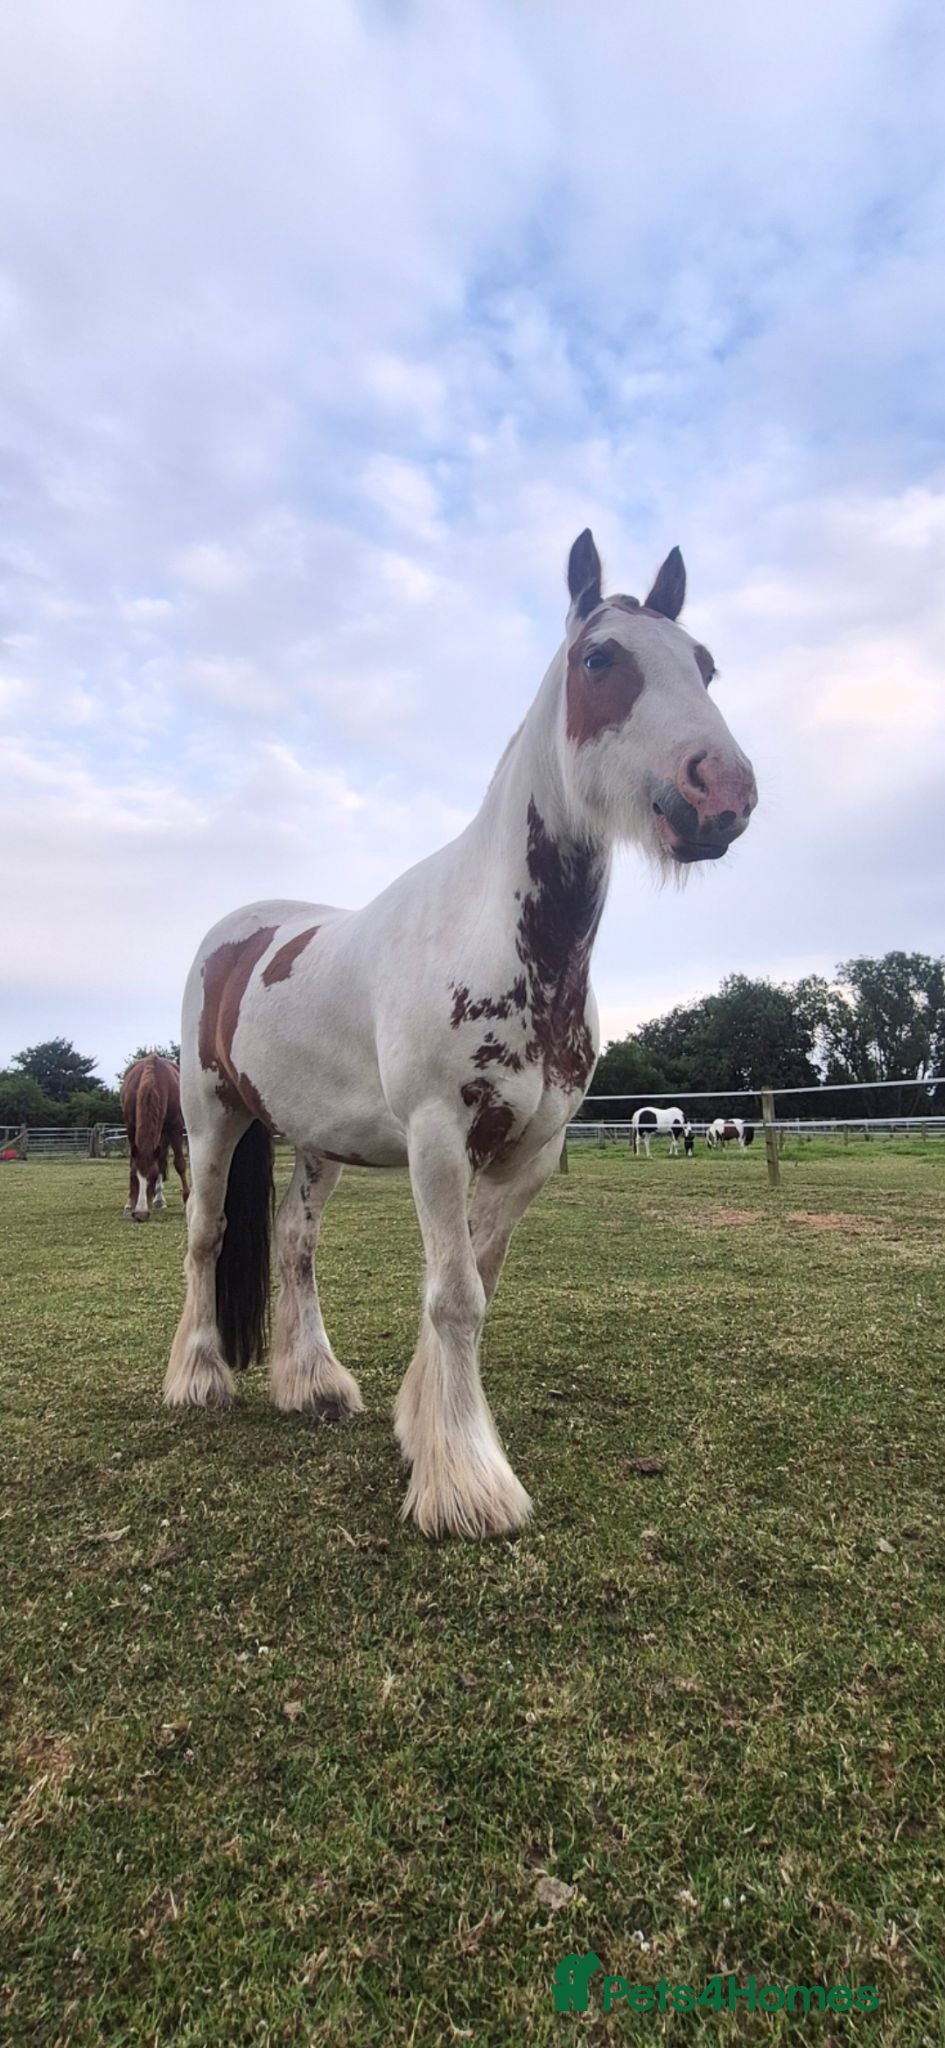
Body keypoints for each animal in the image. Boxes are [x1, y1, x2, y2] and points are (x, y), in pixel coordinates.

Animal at [120, 1055, 191, 1220]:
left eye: (152, 1177)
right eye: (135, 1177)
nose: (140, 1214)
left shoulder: (175, 1126)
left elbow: (179, 1163)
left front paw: (186, 1202)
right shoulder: (131, 1126)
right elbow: (132, 1162)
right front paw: (130, 1203)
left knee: (162, 1158)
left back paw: (159, 1199)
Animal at [163, 528, 756, 1538]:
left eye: (705, 664)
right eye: (601, 660)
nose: (722, 791)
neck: (505, 941)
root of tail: (238, 933)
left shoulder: (530, 1149)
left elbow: (475, 1279)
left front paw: (424, 1425)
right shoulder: (438, 1136)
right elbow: (454, 1297)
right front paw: (468, 1483)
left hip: (314, 1142)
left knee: (292, 1243)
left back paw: (314, 1384)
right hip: (212, 1118)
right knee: (207, 1236)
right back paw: (199, 1377)